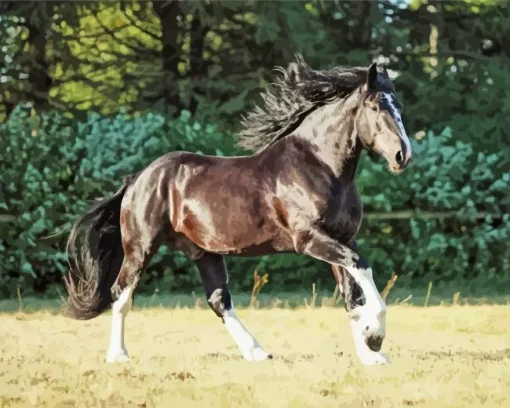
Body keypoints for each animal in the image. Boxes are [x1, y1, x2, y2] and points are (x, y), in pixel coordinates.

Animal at [63, 55, 412, 366]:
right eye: (376, 107)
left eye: (399, 107)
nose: (402, 155)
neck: (320, 165)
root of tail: (137, 179)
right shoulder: (310, 239)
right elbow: (361, 270)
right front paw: (375, 336)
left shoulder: (343, 238)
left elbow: (352, 295)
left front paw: (370, 353)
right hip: (140, 248)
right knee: (121, 293)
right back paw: (118, 356)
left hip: (204, 252)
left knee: (218, 300)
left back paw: (257, 352)